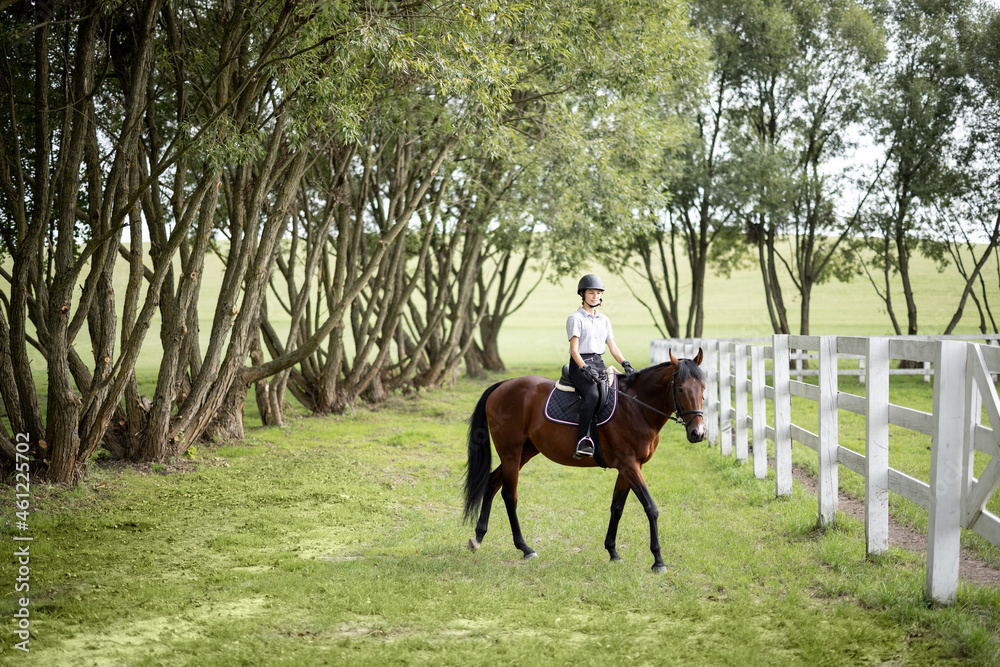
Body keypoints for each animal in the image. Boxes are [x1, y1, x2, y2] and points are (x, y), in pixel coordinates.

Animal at [462, 348, 708, 572]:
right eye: (680, 388)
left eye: (704, 387)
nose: (698, 433)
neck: (637, 407)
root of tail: (504, 385)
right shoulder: (629, 465)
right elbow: (651, 508)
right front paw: (658, 560)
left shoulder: (627, 468)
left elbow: (617, 507)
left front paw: (612, 551)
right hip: (511, 453)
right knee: (509, 496)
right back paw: (525, 548)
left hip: (525, 452)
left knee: (493, 482)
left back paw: (478, 537)